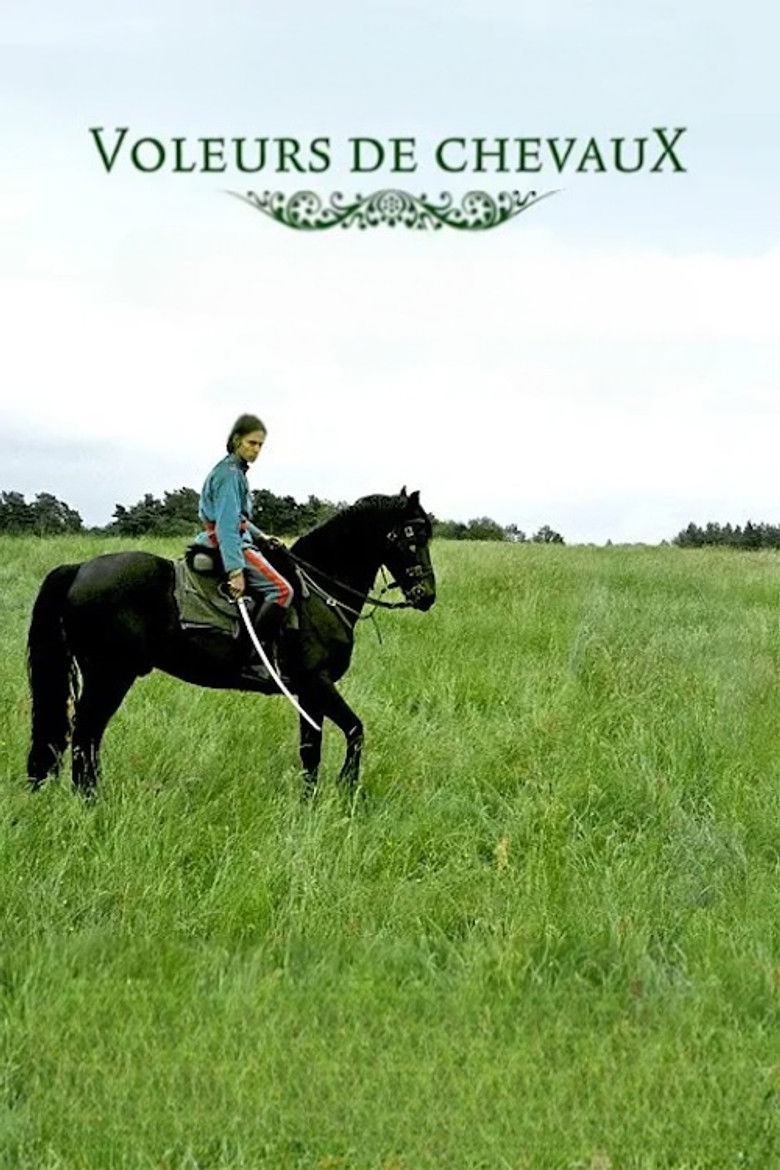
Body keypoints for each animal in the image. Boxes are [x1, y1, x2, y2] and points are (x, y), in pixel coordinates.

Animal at [26, 489, 436, 796]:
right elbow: (355, 731)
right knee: (85, 736)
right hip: (110, 676)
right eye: (410, 536)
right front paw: (347, 788)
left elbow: (311, 751)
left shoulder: (307, 693)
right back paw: (91, 802)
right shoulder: (316, 682)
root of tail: (79, 569)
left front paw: (309, 803)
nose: (426, 595)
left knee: (87, 739)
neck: (320, 591)